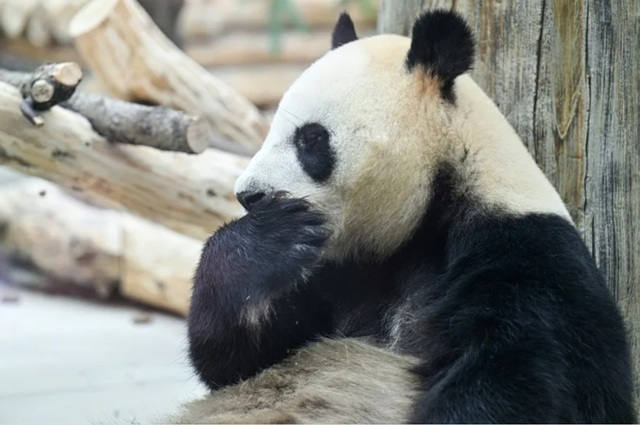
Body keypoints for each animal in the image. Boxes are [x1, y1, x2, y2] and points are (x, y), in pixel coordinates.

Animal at [165, 9, 637, 424]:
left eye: (311, 139)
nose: (250, 196)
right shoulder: (337, 270)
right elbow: (237, 362)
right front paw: (270, 239)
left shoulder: (526, 260)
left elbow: (518, 380)